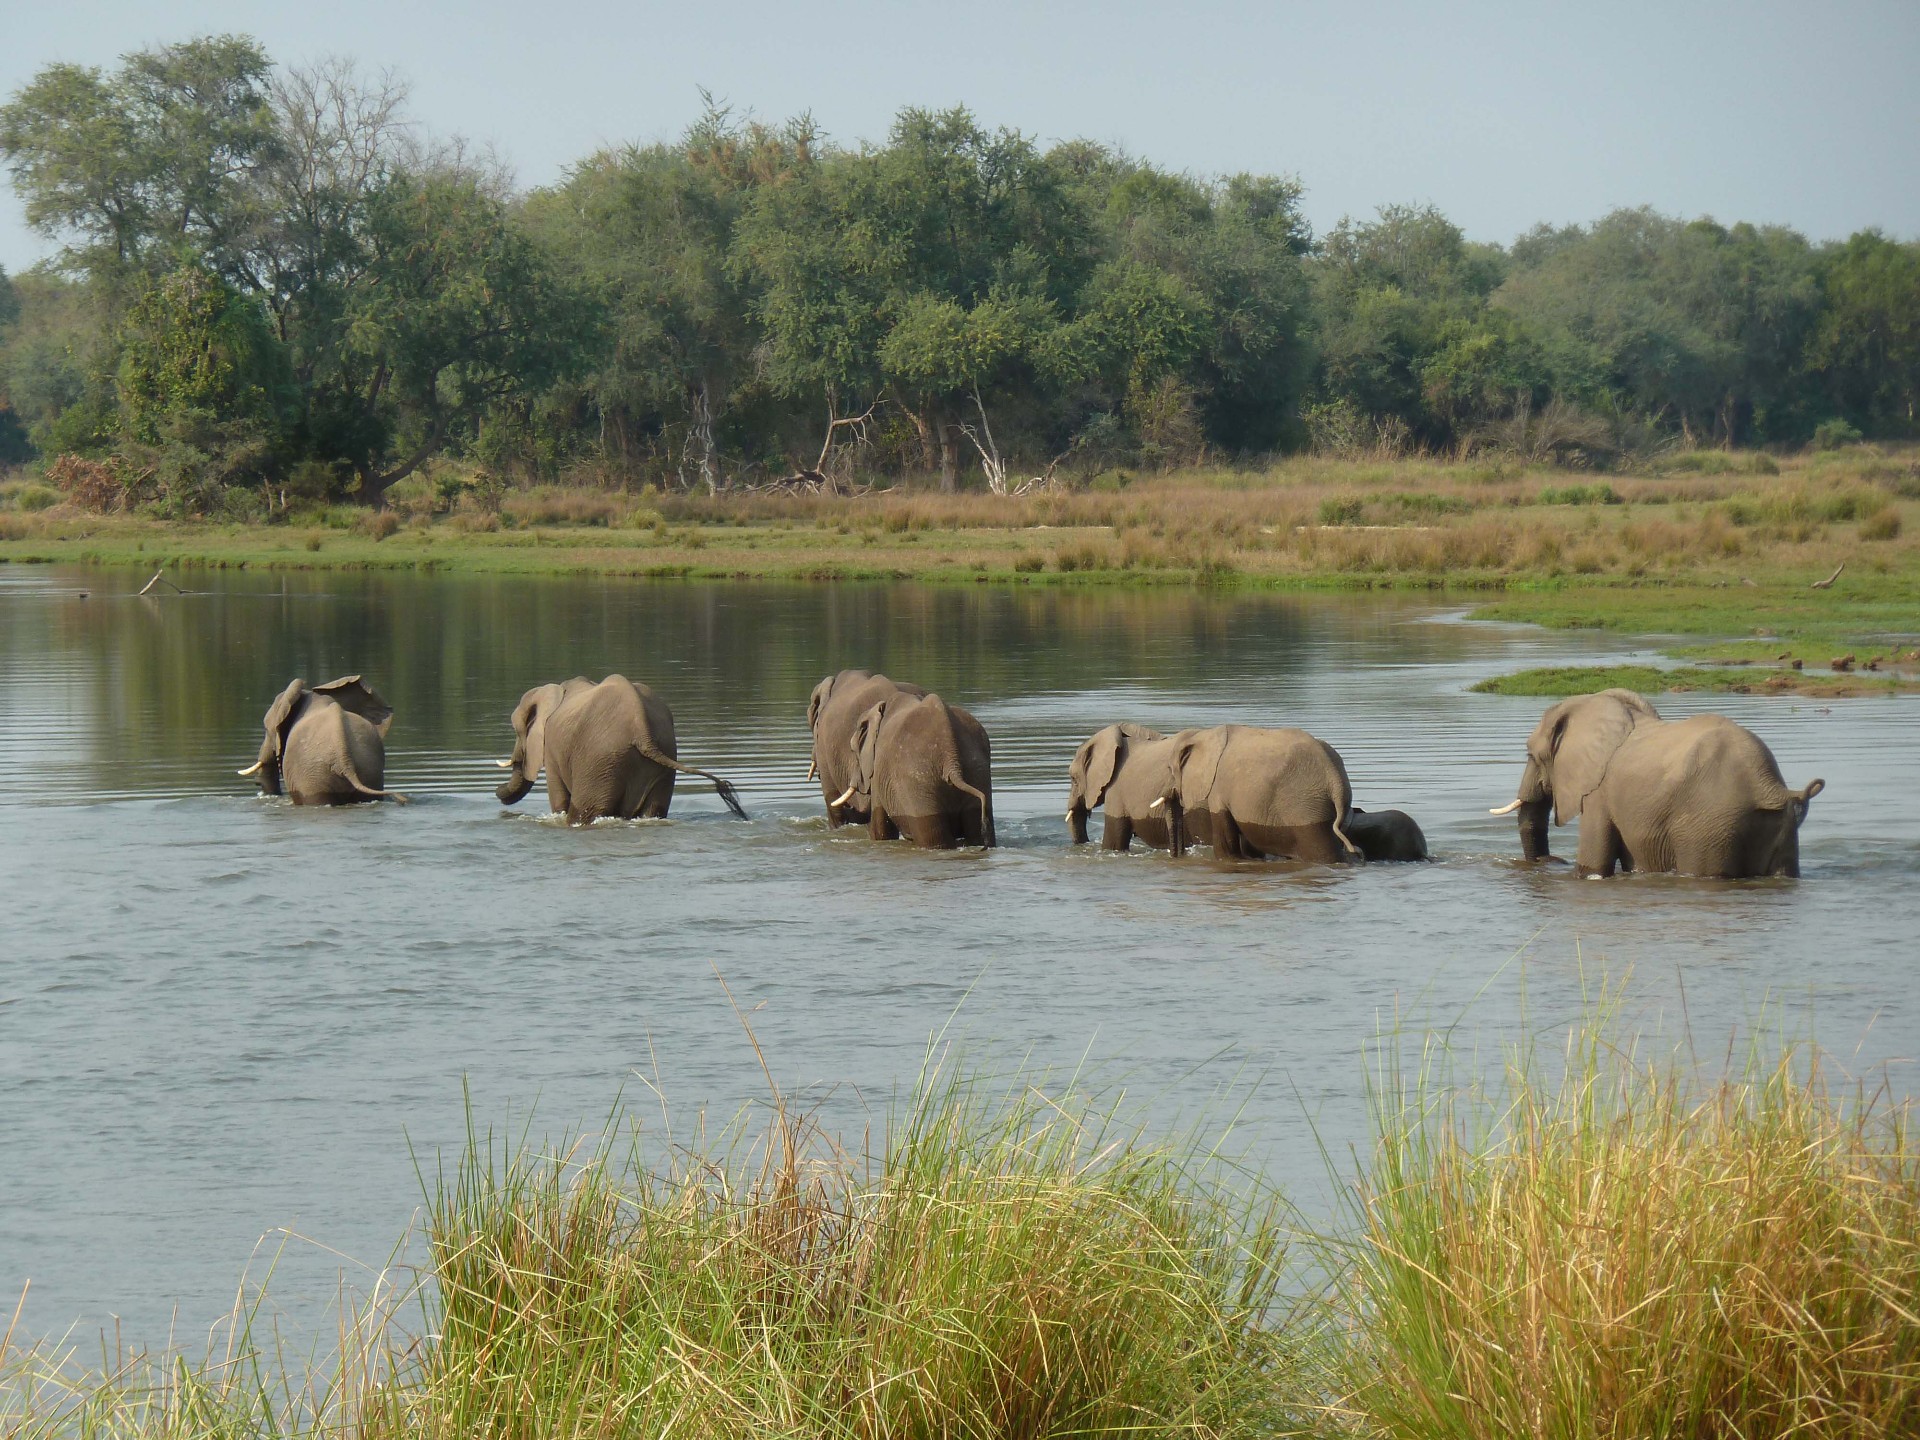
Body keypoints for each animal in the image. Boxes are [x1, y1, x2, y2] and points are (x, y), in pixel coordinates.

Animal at [494, 675, 747, 825]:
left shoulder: (552, 751)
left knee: (587, 812)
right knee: (655, 809)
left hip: (598, 762)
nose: (497, 790)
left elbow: (559, 802)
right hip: (662, 757)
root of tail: (641, 728)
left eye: (517, 731)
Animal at [835, 692, 995, 848]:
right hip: (977, 769)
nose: (849, 808)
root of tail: (950, 753)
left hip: (917, 781)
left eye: (852, 749)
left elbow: (881, 829)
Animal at [1160, 725, 1363, 863]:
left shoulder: (1218, 788)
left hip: (1306, 808)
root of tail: (1335, 779)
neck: (1205, 733)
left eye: (1169, 769)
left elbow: (1226, 848)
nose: (1177, 857)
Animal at [1490, 688, 1825, 878]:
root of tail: (1770, 788)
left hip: (1709, 829)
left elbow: (1593, 865)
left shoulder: (1600, 791)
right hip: (1778, 828)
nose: (1551, 860)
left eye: (1531, 755)